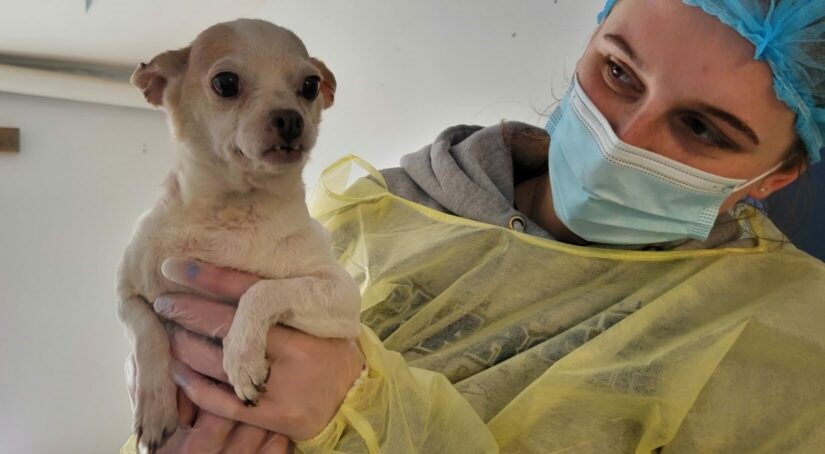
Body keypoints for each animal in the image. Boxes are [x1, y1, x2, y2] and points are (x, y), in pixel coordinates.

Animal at [116, 18, 360, 450]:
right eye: (225, 83)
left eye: (310, 85)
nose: (291, 118)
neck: (232, 210)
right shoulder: (126, 294)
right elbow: (147, 330)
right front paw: (155, 405)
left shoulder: (344, 298)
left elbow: (262, 290)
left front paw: (241, 357)